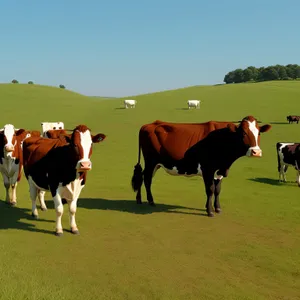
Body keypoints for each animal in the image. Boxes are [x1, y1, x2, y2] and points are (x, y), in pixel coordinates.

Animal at [131, 115, 272, 216]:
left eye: (259, 133)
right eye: (243, 133)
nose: (256, 152)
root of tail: (149, 124)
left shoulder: (220, 170)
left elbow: (217, 189)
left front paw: (217, 208)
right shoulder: (207, 169)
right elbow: (210, 189)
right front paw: (209, 211)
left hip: (156, 164)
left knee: (143, 176)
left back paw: (140, 199)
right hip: (151, 161)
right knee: (146, 178)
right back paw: (150, 201)